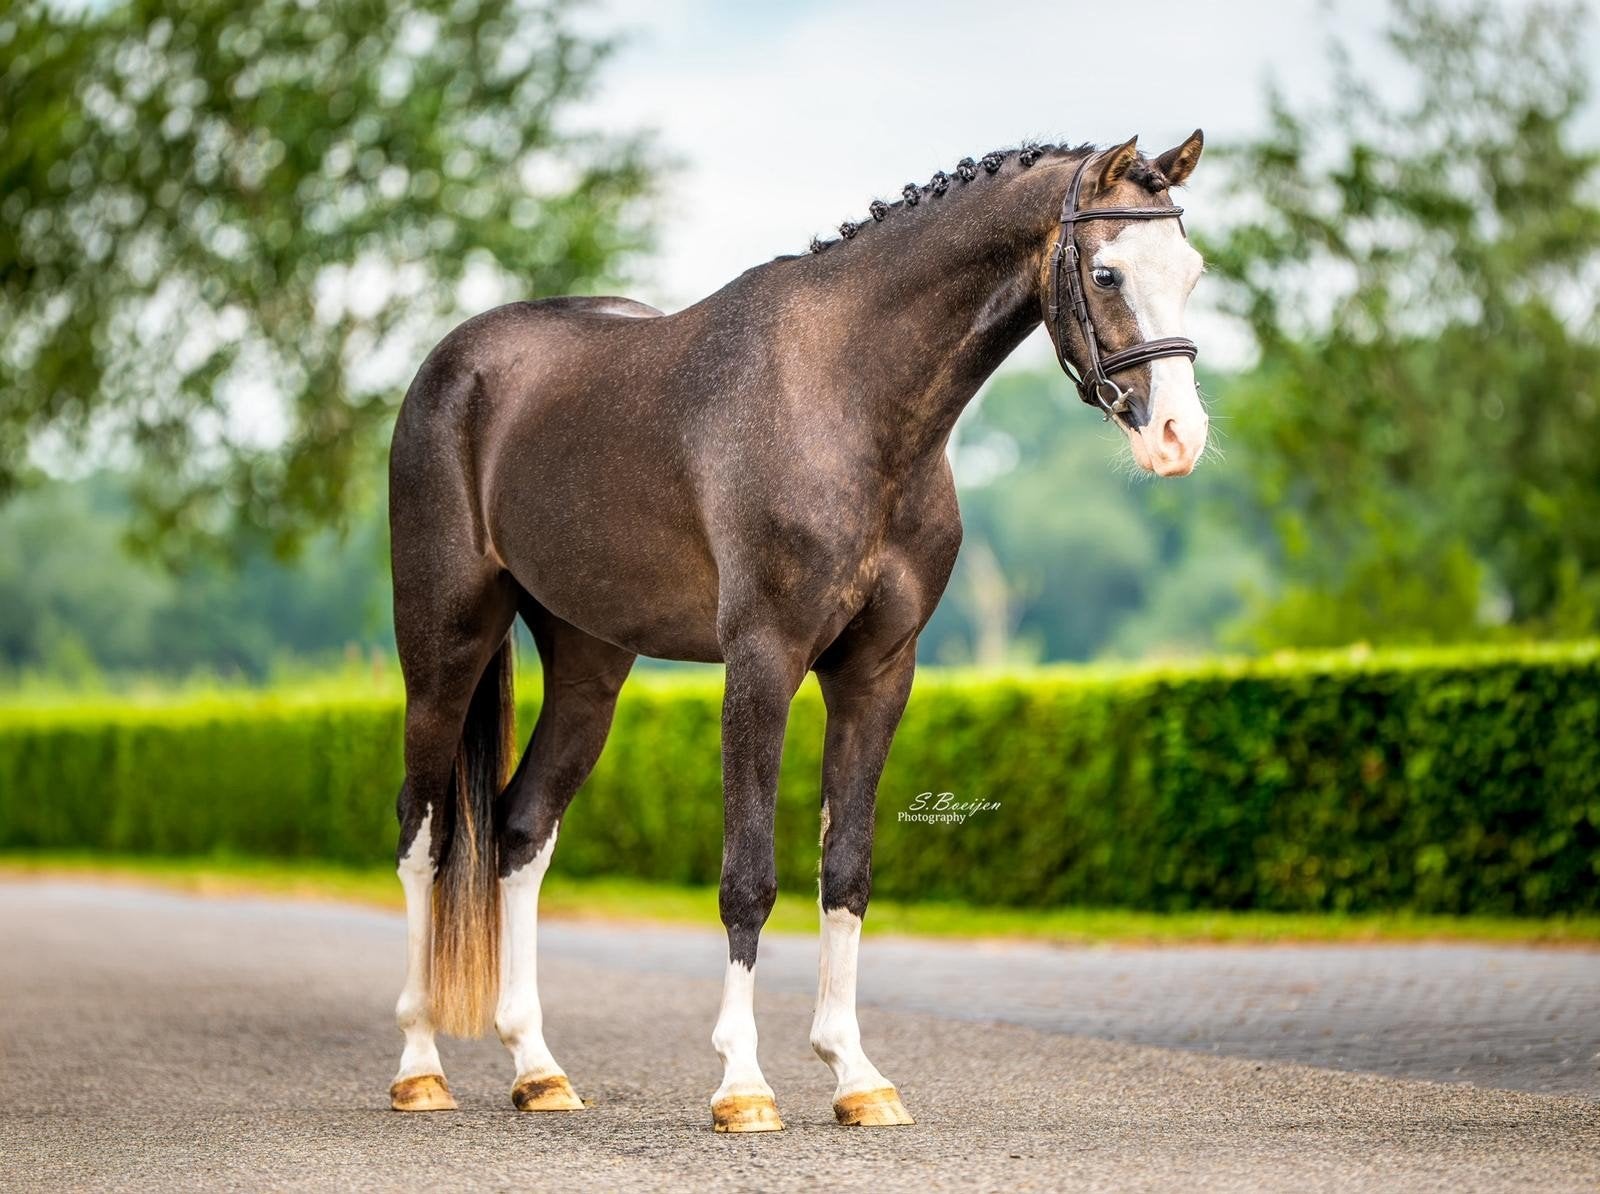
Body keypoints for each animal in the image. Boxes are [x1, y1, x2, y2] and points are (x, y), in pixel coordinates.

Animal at [385, 131, 1208, 1131]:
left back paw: (537, 1070)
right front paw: (743, 1084)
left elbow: (845, 872)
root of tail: (454, 365)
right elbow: (749, 876)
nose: (1179, 436)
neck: (850, 400)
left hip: (590, 669)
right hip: (444, 644)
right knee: (424, 835)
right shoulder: (763, 663)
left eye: (1193, 272)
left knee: (519, 829)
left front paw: (857, 1075)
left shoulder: (878, 673)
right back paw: (420, 1066)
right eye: (1106, 271)